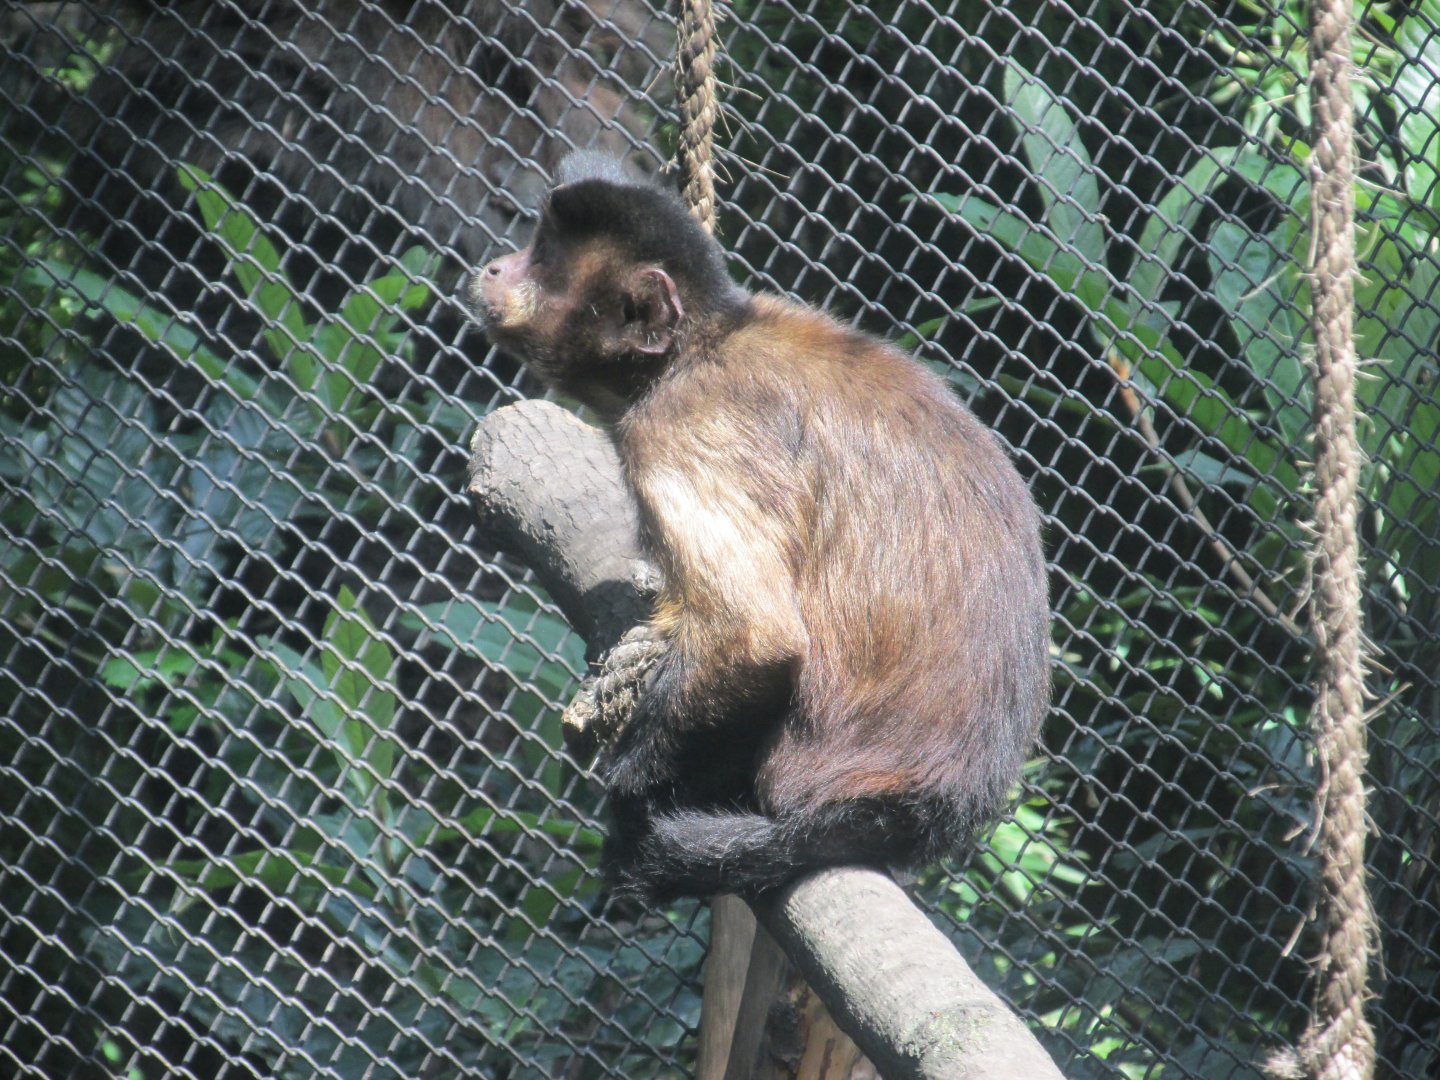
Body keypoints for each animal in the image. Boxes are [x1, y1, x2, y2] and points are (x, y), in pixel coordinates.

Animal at [464, 151, 1050, 900]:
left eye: (539, 259)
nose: (494, 267)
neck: (696, 351)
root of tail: (933, 805)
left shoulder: (685, 423)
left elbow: (757, 641)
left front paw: (627, 786)